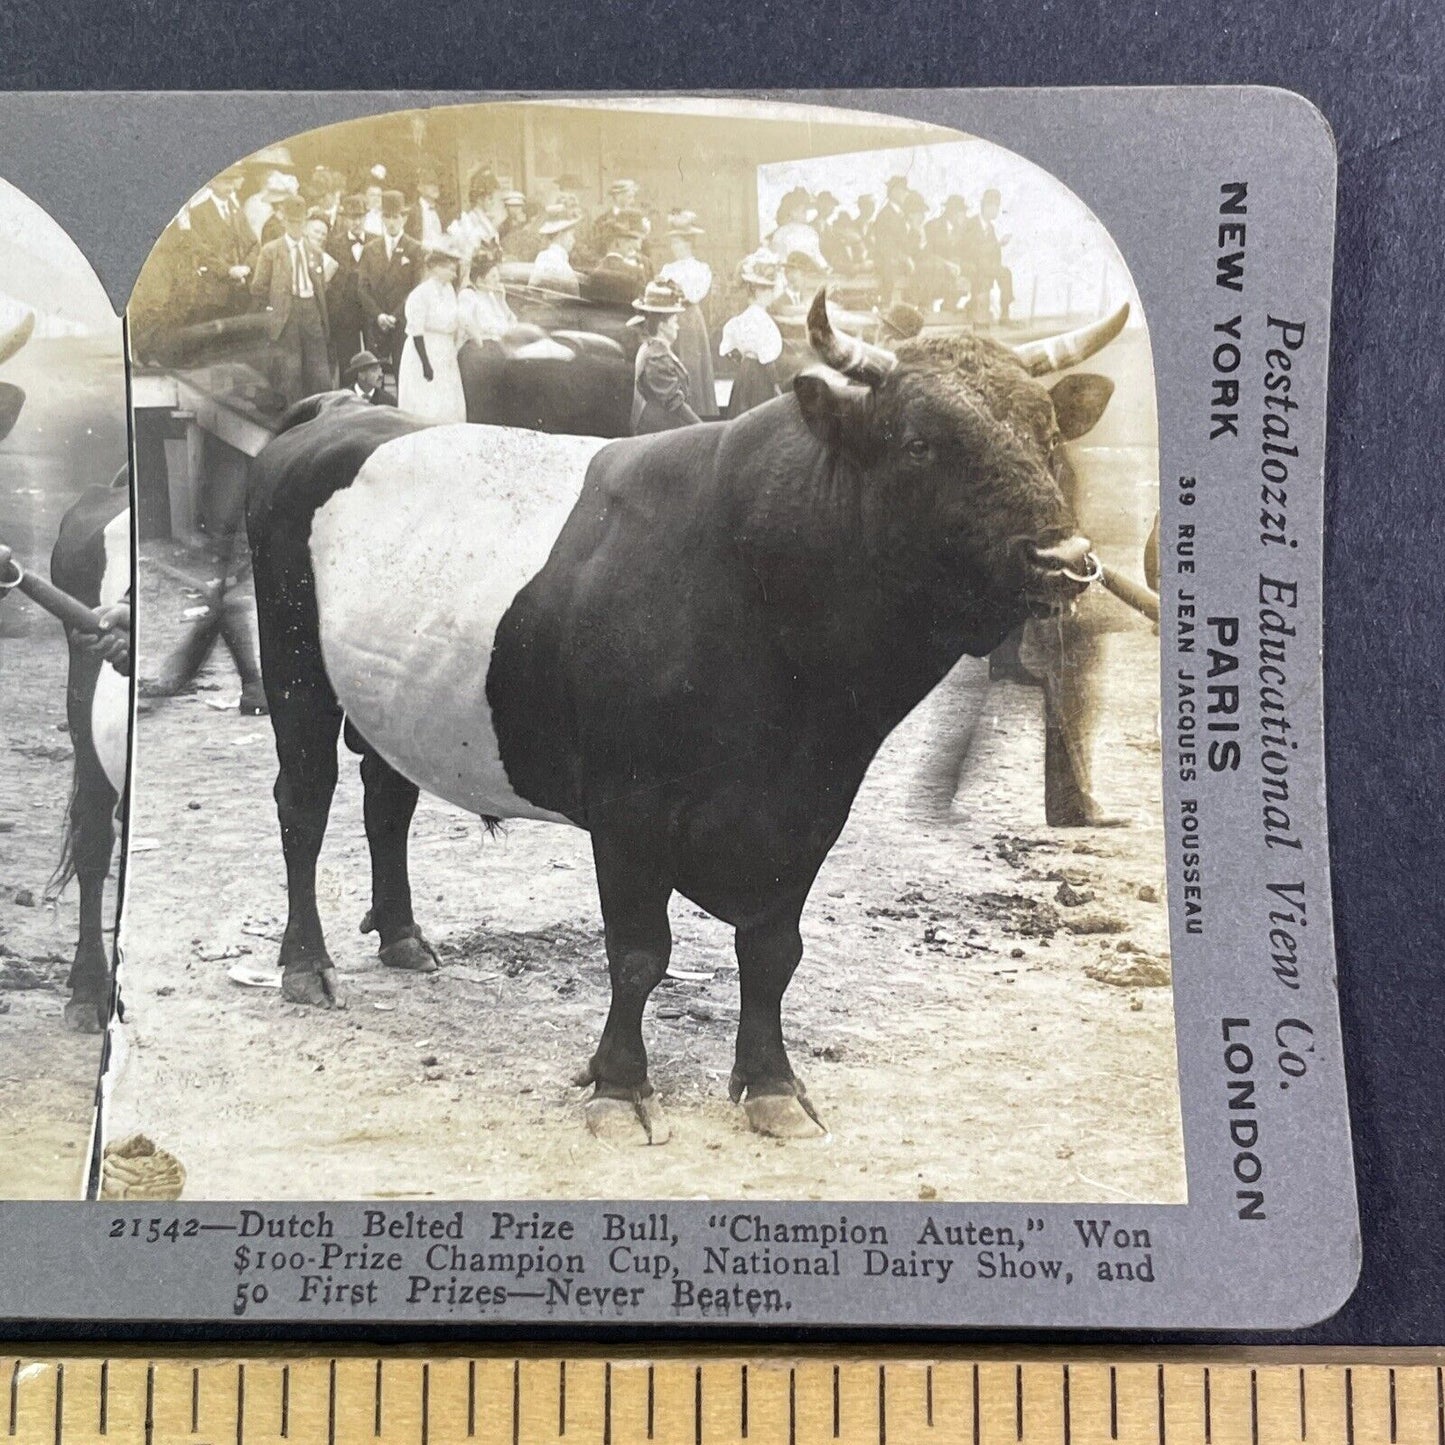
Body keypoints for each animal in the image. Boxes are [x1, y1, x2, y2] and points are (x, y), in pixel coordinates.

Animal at [248, 293, 1127, 1144]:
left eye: (1047, 432)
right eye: (918, 443)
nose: (1064, 559)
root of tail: (338, 412)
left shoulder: (812, 807)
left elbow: (772, 950)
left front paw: (771, 1083)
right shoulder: (628, 806)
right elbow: (639, 953)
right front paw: (619, 1084)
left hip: (386, 692)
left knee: (386, 798)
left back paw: (401, 934)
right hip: (294, 674)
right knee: (303, 803)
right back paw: (305, 963)